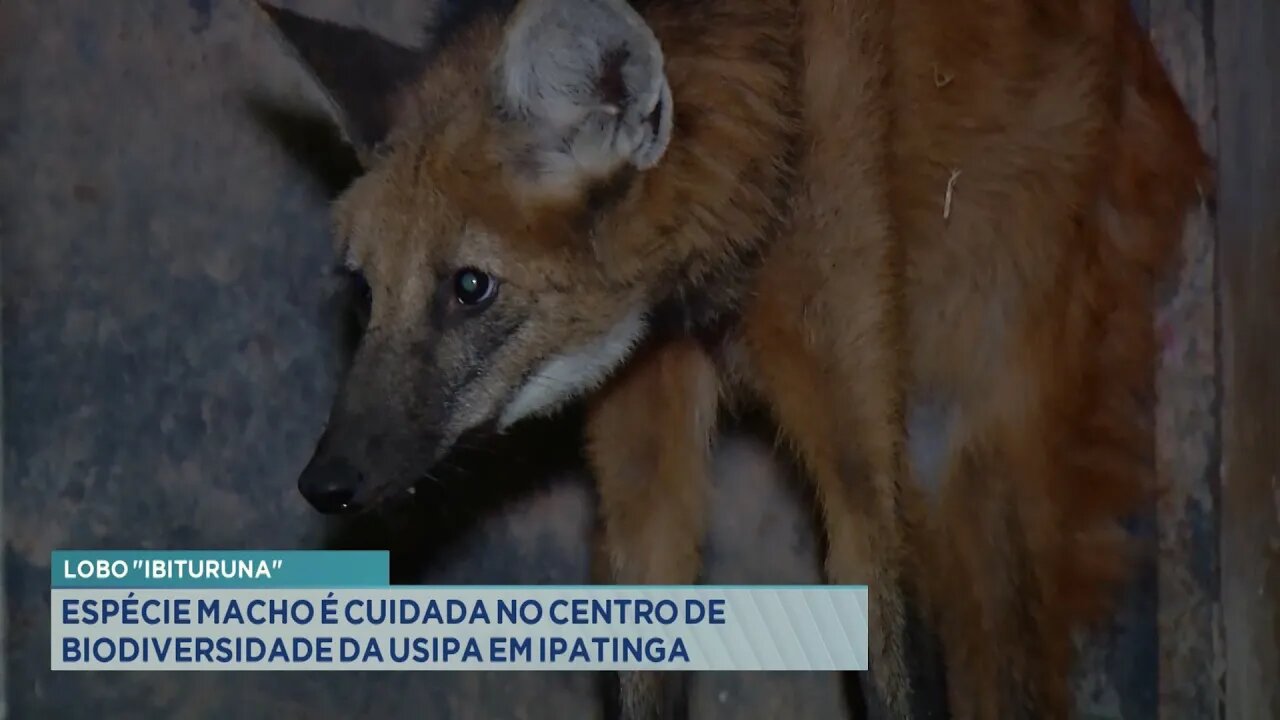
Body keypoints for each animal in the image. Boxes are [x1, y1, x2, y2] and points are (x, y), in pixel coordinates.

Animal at [252, 0, 1208, 712]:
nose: (324, 482)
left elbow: (887, 623)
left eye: (470, 287)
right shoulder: (646, 433)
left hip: (975, 408)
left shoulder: (863, 452)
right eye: (367, 291)